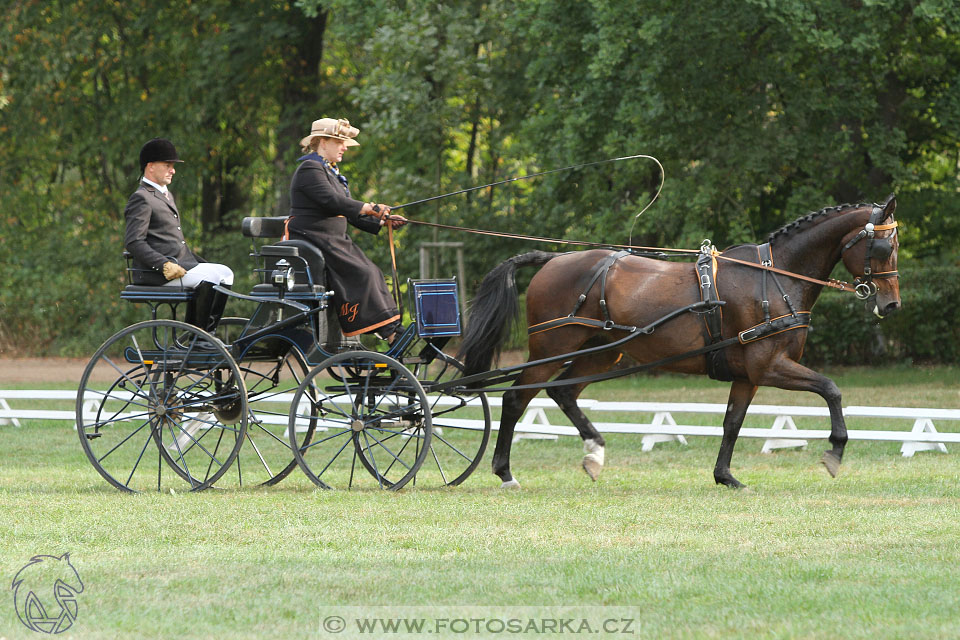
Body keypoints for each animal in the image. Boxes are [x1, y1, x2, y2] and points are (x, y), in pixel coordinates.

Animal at [458, 192, 900, 488]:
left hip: (603, 353)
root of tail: (553, 259)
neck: (775, 277)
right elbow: (831, 389)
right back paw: (505, 472)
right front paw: (835, 451)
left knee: (563, 393)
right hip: (552, 349)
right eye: (883, 246)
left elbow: (732, 422)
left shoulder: (748, 375)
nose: (891, 304)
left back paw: (594, 453)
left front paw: (725, 477)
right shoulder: (768, 366)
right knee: (516, 399)